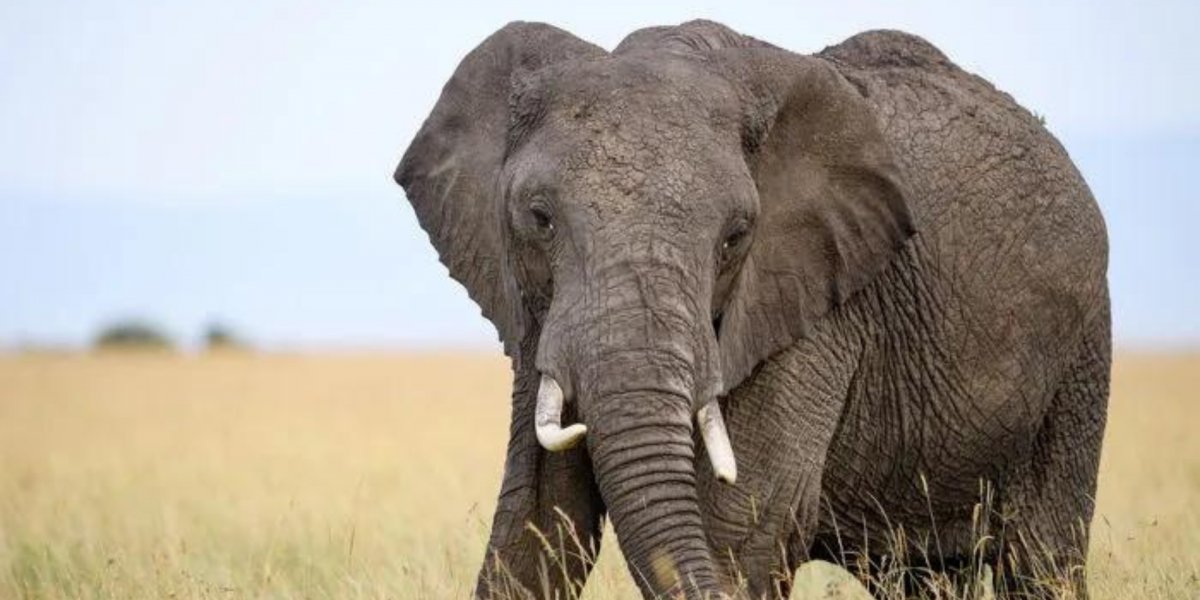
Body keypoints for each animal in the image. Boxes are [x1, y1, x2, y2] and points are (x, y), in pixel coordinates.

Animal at [393, 20, 1110, 600]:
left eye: (736, 236)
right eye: (538, 219)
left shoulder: (815, 308)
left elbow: (738, 530)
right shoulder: (533, 309)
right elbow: (537, 524)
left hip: (1080, 353)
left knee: (1040, 559)